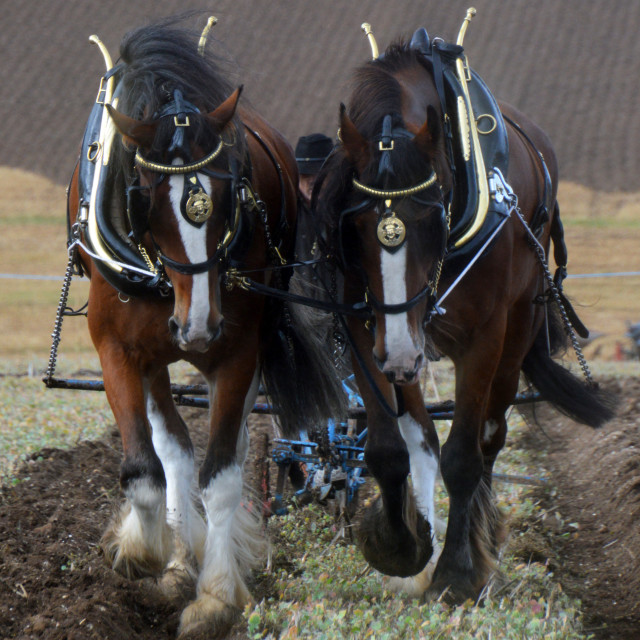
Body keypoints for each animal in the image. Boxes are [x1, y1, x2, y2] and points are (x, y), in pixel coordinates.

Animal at [67, 17, 342, 636]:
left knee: (226, 448)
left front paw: (215, 595)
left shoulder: (238, 352)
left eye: (228, 190)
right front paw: (143, 554)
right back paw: (177, 557)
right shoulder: (117, 349)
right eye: (143, 198)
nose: (196, 328)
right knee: (172, 448)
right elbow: (146, 465)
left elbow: (221, 475)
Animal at [316, 28, 616, 600]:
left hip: (516, 327)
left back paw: (480, 542)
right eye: (354, 225)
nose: (401, 355)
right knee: (423, 439)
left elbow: (463, 456)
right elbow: (392, 449)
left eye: (433, 217)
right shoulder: (368, 327)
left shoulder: (482, 336)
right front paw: (400, 545)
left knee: (491, 437)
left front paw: (456, 572)